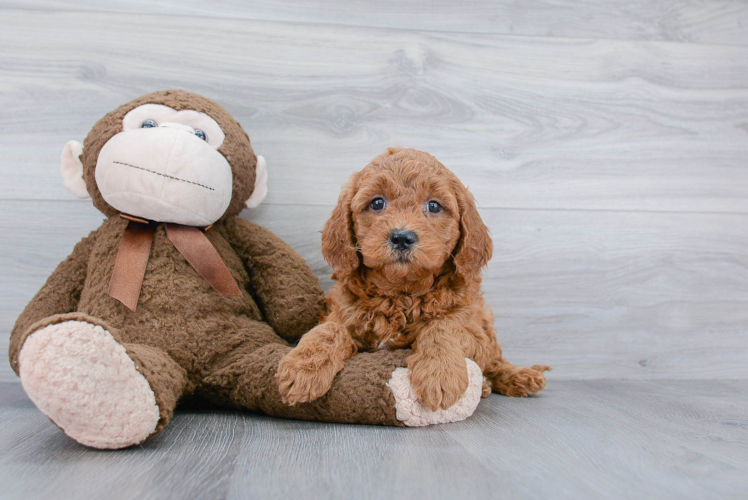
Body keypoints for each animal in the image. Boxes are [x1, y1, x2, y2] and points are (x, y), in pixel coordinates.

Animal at [278, 147, 548, 410]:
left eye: (434, 206)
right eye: (377, 203)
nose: (401, 237)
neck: (402, 293)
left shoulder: (472, 328)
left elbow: (442, 326)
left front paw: (440, 374)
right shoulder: (343, 312)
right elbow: (330, 329)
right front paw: (303, 367)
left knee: (495, 360)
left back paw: (518, 377)